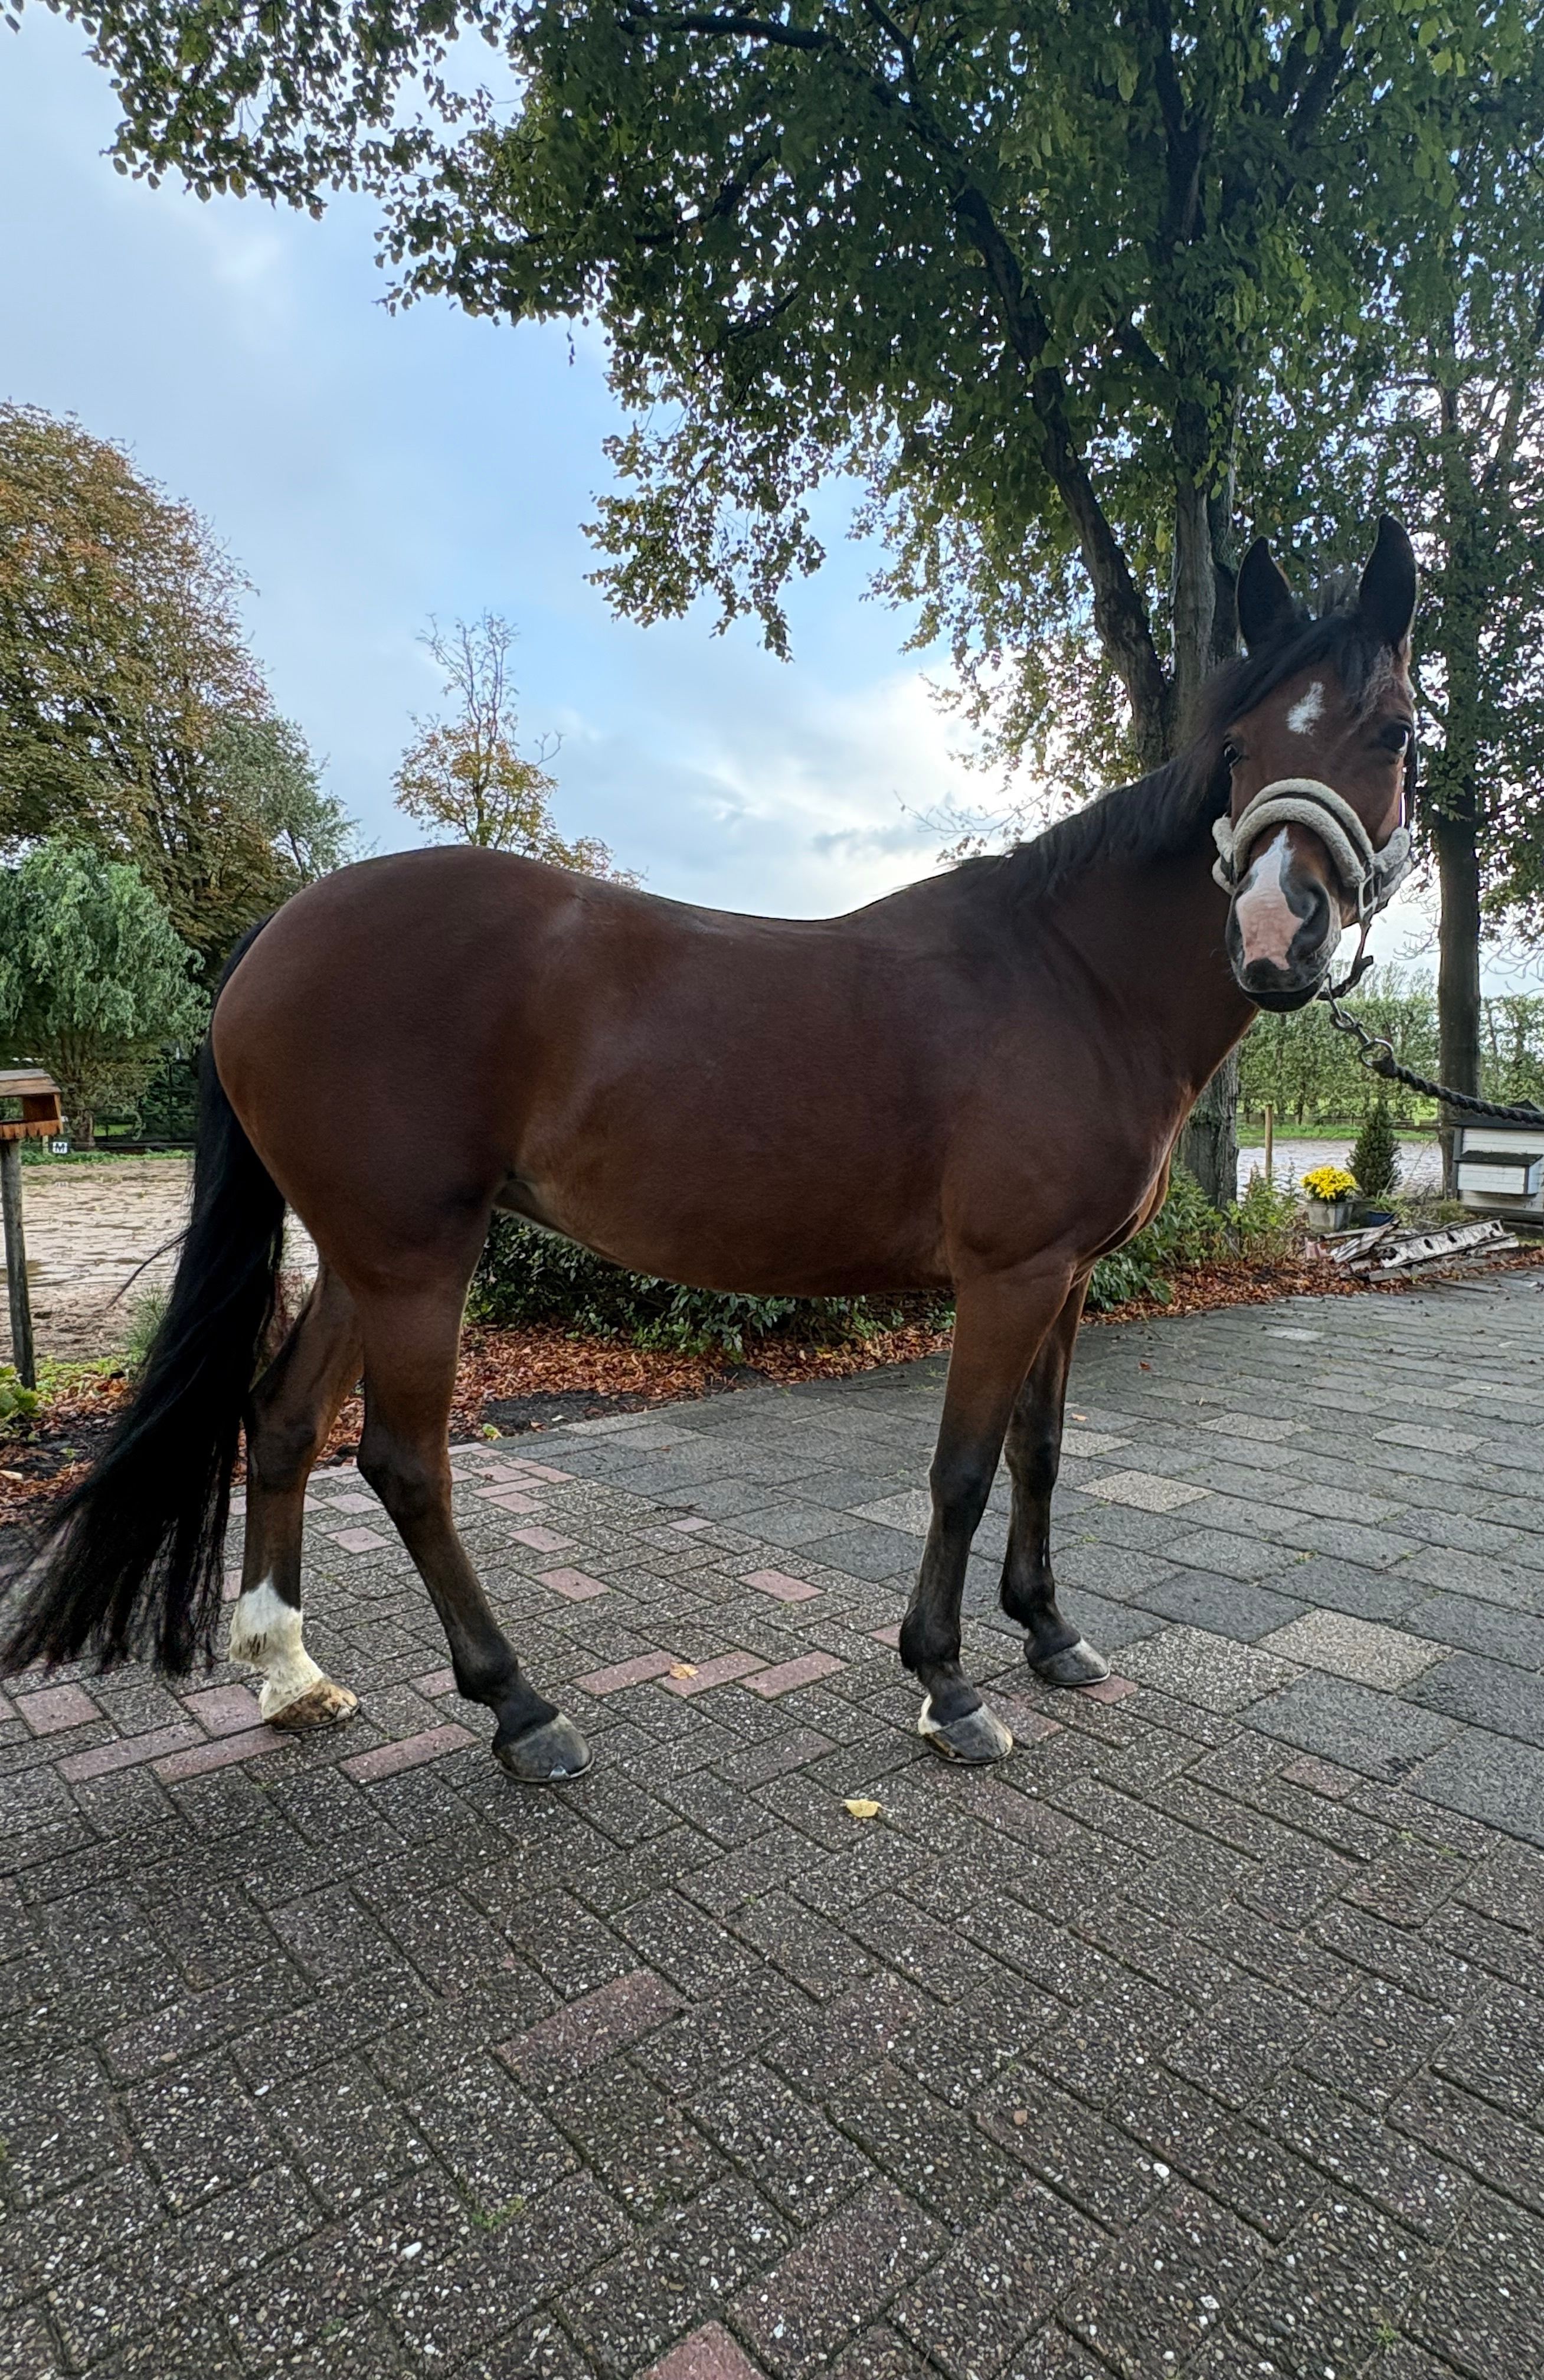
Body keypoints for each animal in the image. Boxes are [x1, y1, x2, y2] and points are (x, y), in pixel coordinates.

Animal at [0, 518, 1419, 1780]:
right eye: (1235, 746)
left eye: (1392, 730)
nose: (1275, 936)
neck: (1073, 977)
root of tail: (277, 935)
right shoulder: (1008, 1276)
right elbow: (962, 1469)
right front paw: (948, 1685)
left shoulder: (1066, 1277)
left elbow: (1043, 1452)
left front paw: (1051, 1634)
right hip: (413, 1260)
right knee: (403, 1463)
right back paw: (521, 1710)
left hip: (365, 1250)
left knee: (284, 1420)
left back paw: (292, 1672)